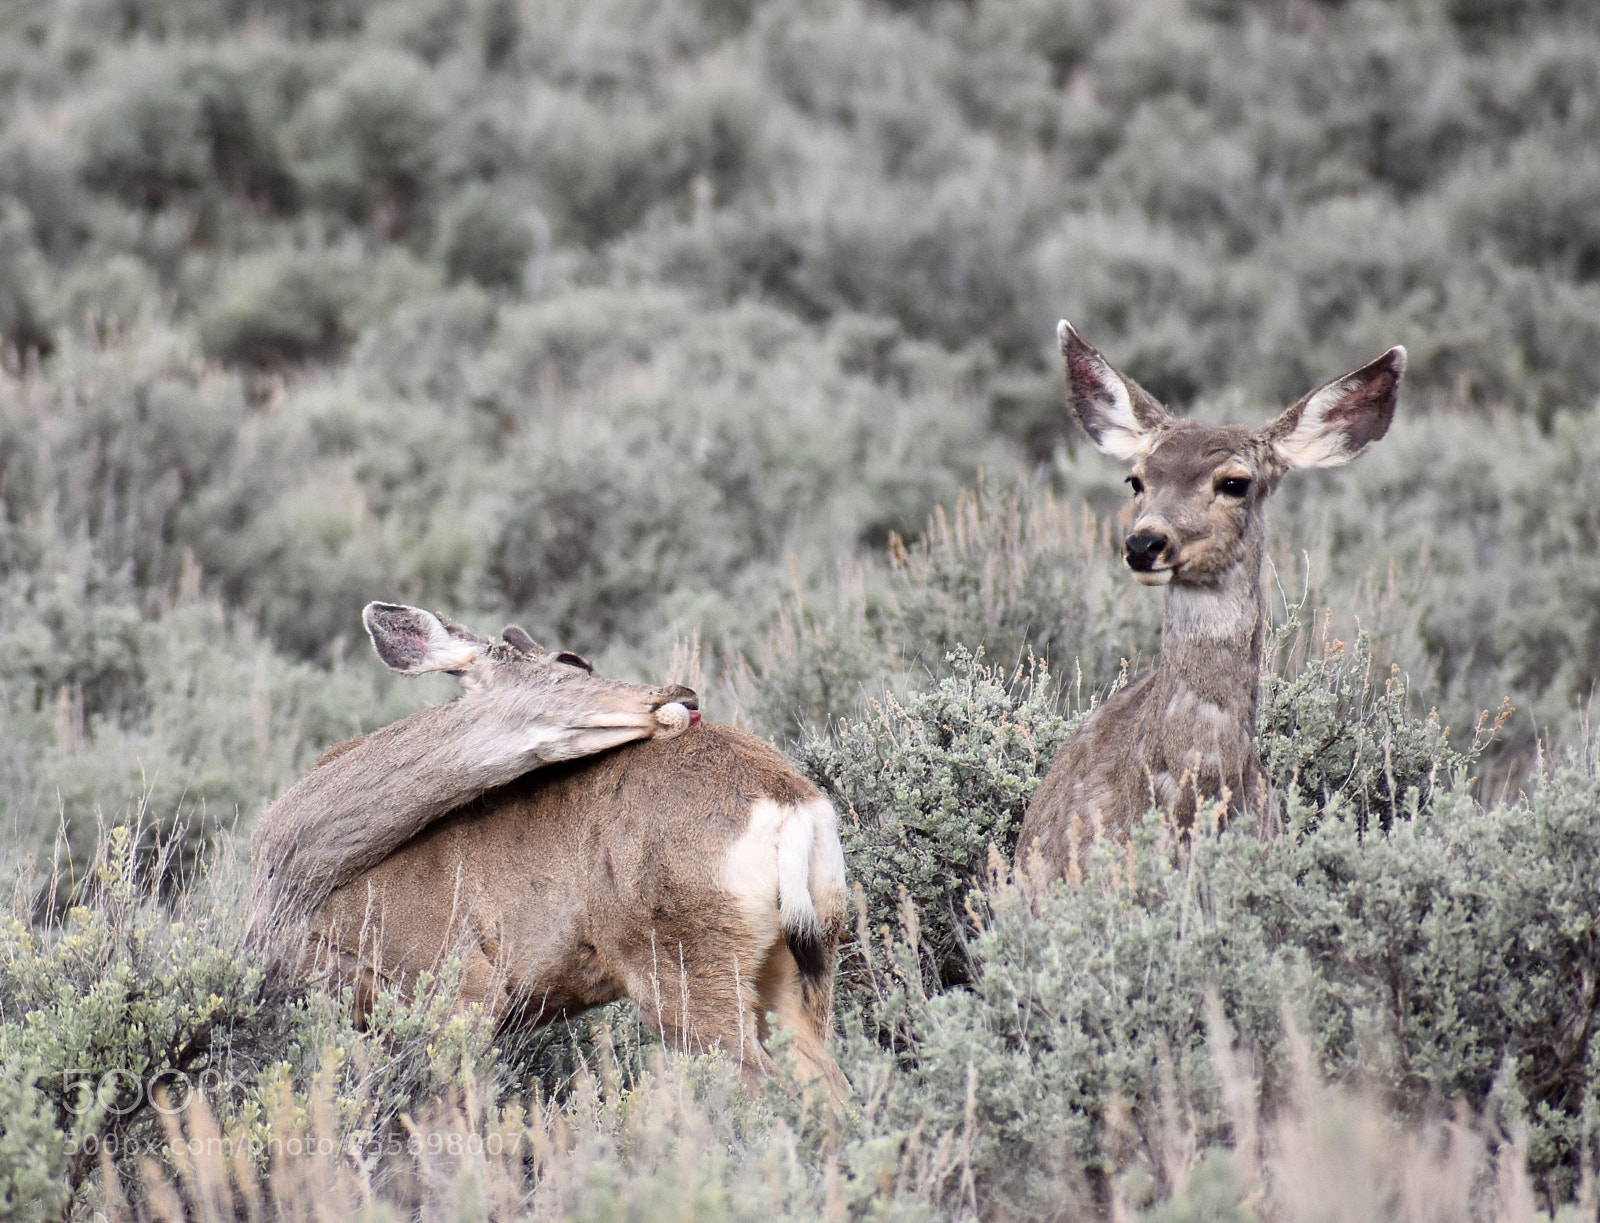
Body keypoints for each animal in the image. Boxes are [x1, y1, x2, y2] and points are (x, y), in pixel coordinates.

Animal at [250, 603, 850, 1101]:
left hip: (680, 954)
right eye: (572, 661)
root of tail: (790, 802)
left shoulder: (453, 977)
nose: (682, 695)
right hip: (804, 957)